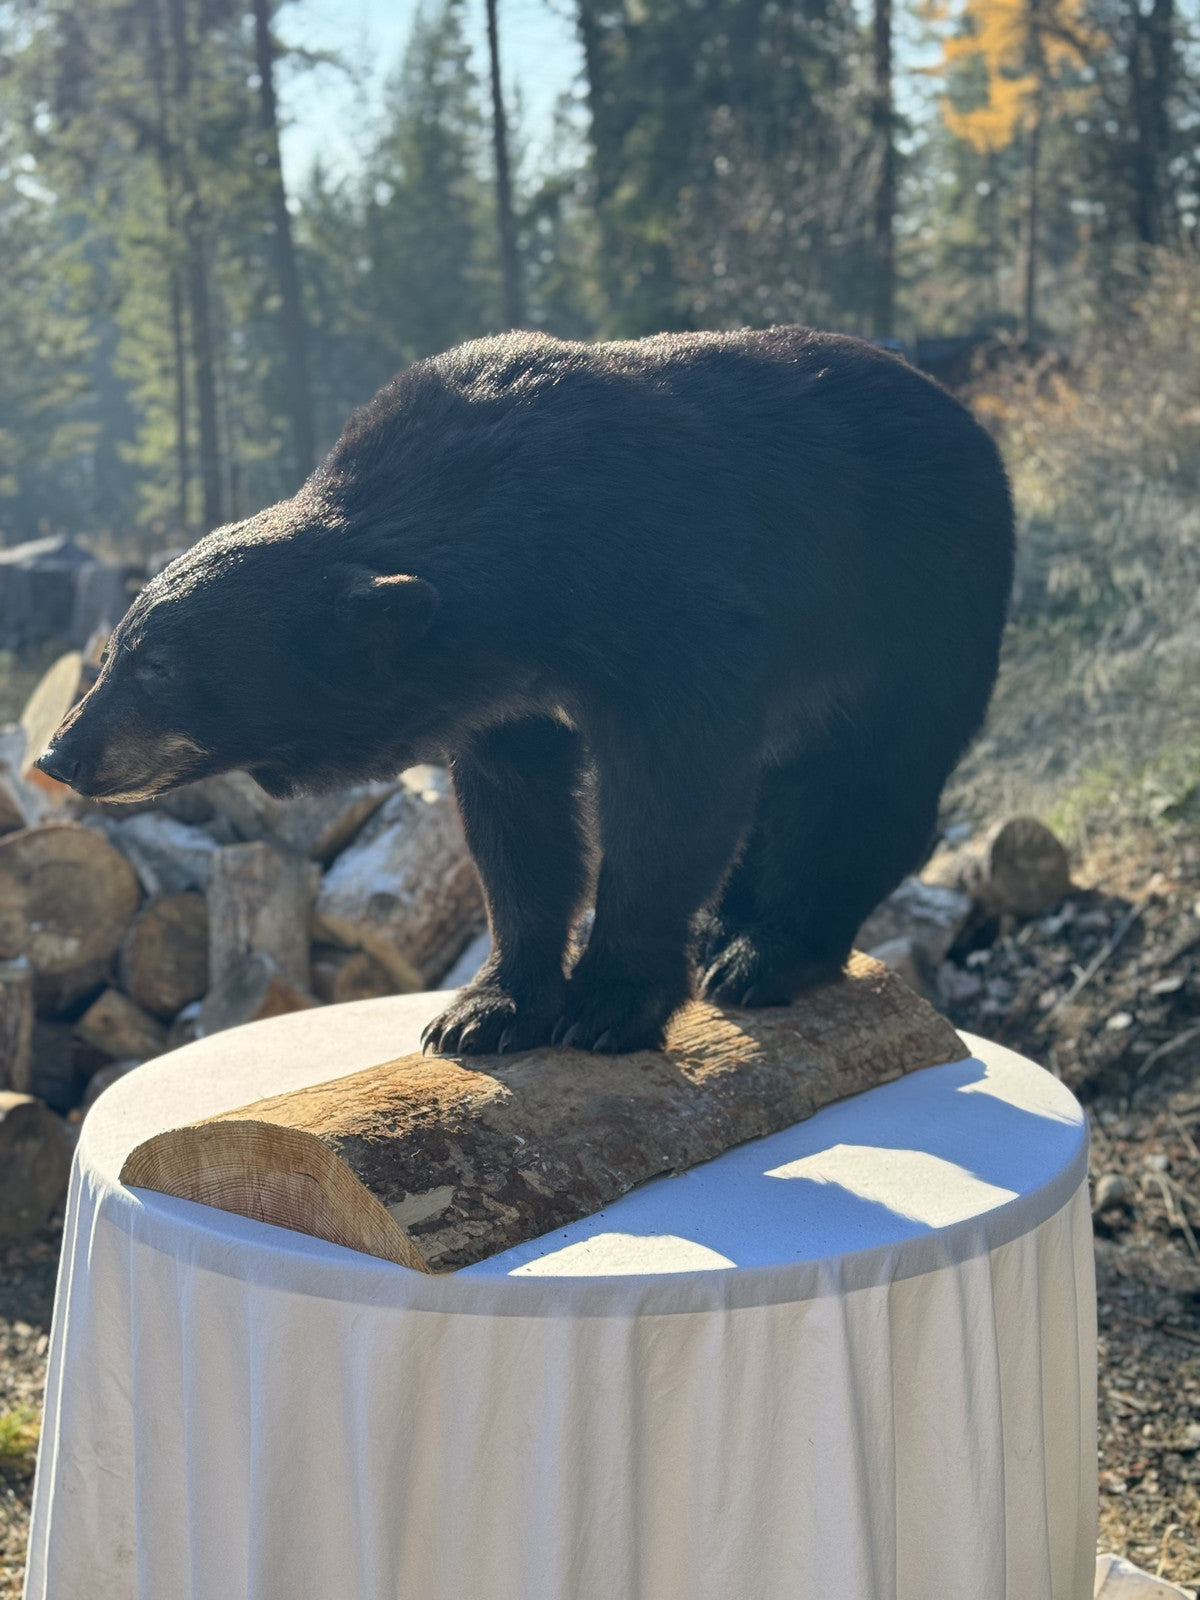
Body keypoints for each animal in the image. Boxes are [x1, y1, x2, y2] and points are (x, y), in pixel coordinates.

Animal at [38, 327, 1014, 1055]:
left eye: (158, 665)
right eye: (115, 651)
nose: (60, 752)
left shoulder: (681, 613)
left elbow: (672, 792)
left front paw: (612, 999)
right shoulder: (502, 704)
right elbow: (517, 825)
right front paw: (488, 1009)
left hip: (920, 602)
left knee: (871, 780)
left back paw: (768, 952)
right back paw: (727, 930)